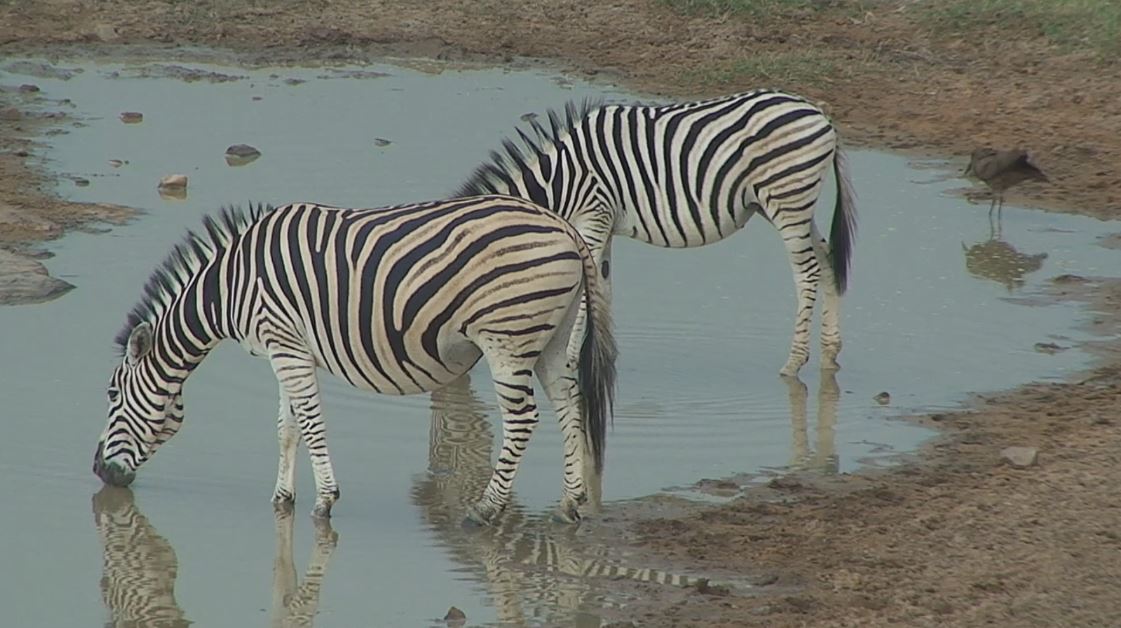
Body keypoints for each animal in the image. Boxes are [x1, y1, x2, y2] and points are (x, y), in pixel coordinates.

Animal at [92, 196, 616, 525]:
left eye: (112, 394)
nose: (98, 471)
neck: (232, 285)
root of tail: (565, 227)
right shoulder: (287, 348)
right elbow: (286, 427)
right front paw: (282, 499)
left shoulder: (286, 344)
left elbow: (310, 423)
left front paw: (324, 501)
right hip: (553, 336)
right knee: (569, 404)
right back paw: (570, 504)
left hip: (507, 336)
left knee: (523, 420)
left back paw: (485, 511)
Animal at [457, 90, 857, 377]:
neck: (562, 179)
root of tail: (821, 115)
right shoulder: (605, 224)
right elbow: (602, 287)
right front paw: (604, 356)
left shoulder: (595, 216)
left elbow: (588, 290)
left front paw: (572, 359)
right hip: (794, 205)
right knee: (827, 259)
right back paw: (831, 352)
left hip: (787, 198)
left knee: (806, 272)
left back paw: (793, 363)